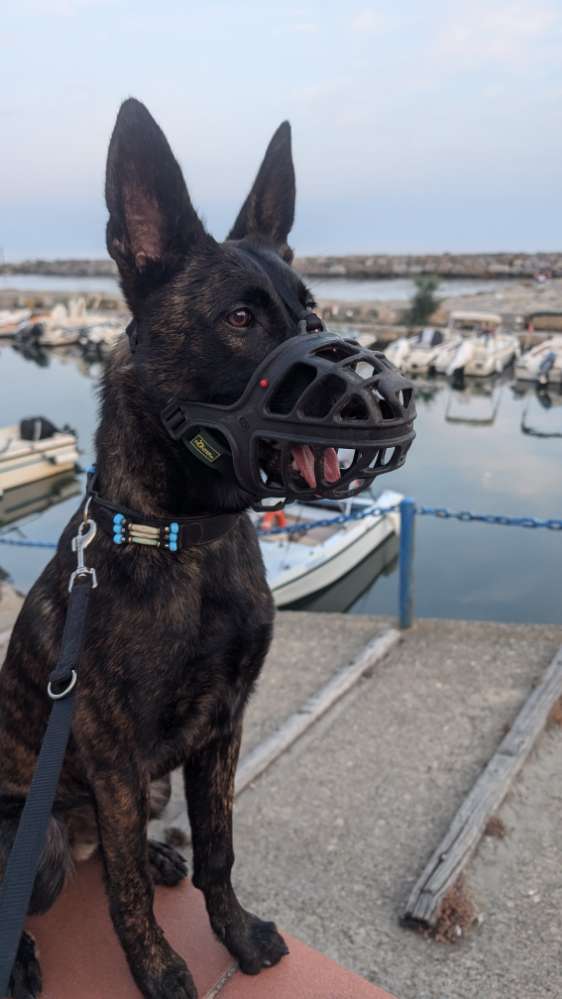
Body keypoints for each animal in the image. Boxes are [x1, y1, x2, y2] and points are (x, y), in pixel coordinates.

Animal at [0, 97, 320, 996]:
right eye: (241, 319)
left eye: (312, 314)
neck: (187, 543)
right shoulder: (114, 753)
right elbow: (124, 895)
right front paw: (158, 967)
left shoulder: (221, 729)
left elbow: (219, 850)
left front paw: (235, 934)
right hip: (43, 832)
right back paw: (24, 953)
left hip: (141, 792)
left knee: (119, 848)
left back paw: (150, 851)